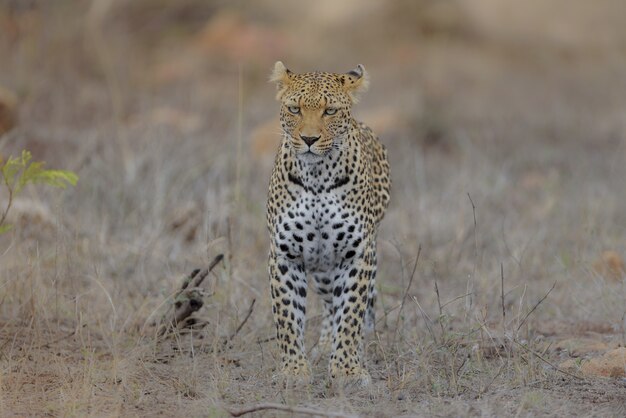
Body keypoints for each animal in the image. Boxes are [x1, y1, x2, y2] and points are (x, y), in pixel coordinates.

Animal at [264, 61, 390, 386]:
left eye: (330, 111)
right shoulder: (285, 255)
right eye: (294, 109)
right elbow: (287, 316)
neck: (317, 177)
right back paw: (322, 348)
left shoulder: (356, 256)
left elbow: (352, 314)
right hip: (322, 269)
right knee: (330, 305)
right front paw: (293, 370)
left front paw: (347, 369)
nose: (309, 140)